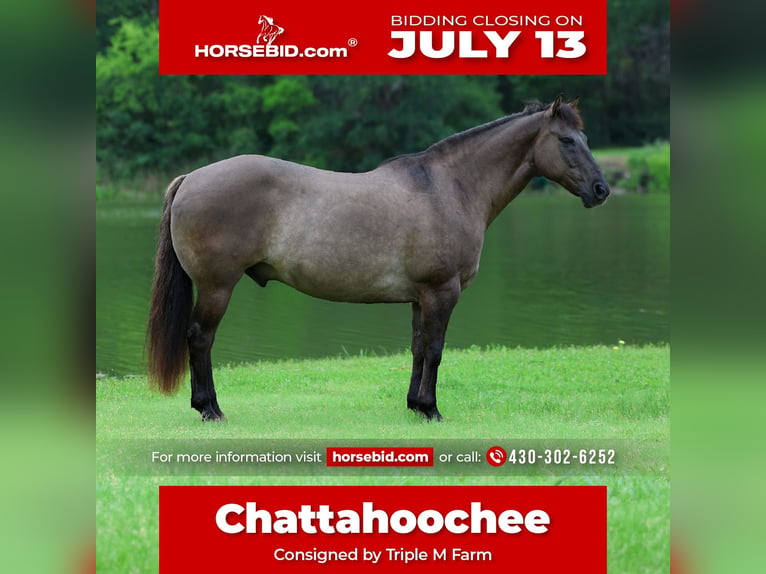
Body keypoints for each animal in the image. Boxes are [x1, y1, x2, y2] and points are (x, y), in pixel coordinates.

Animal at [146, 96, 610, 422]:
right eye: (567, 141)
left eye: (586, 139)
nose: (601, 190)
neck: (448, 188)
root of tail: (192, 177)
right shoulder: (442, 292)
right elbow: (436, 350)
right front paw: (432, 409)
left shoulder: (421, 298)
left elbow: (419, 349)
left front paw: (415, 405)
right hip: (217, 287)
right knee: (200, 339)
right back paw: (209, 408)